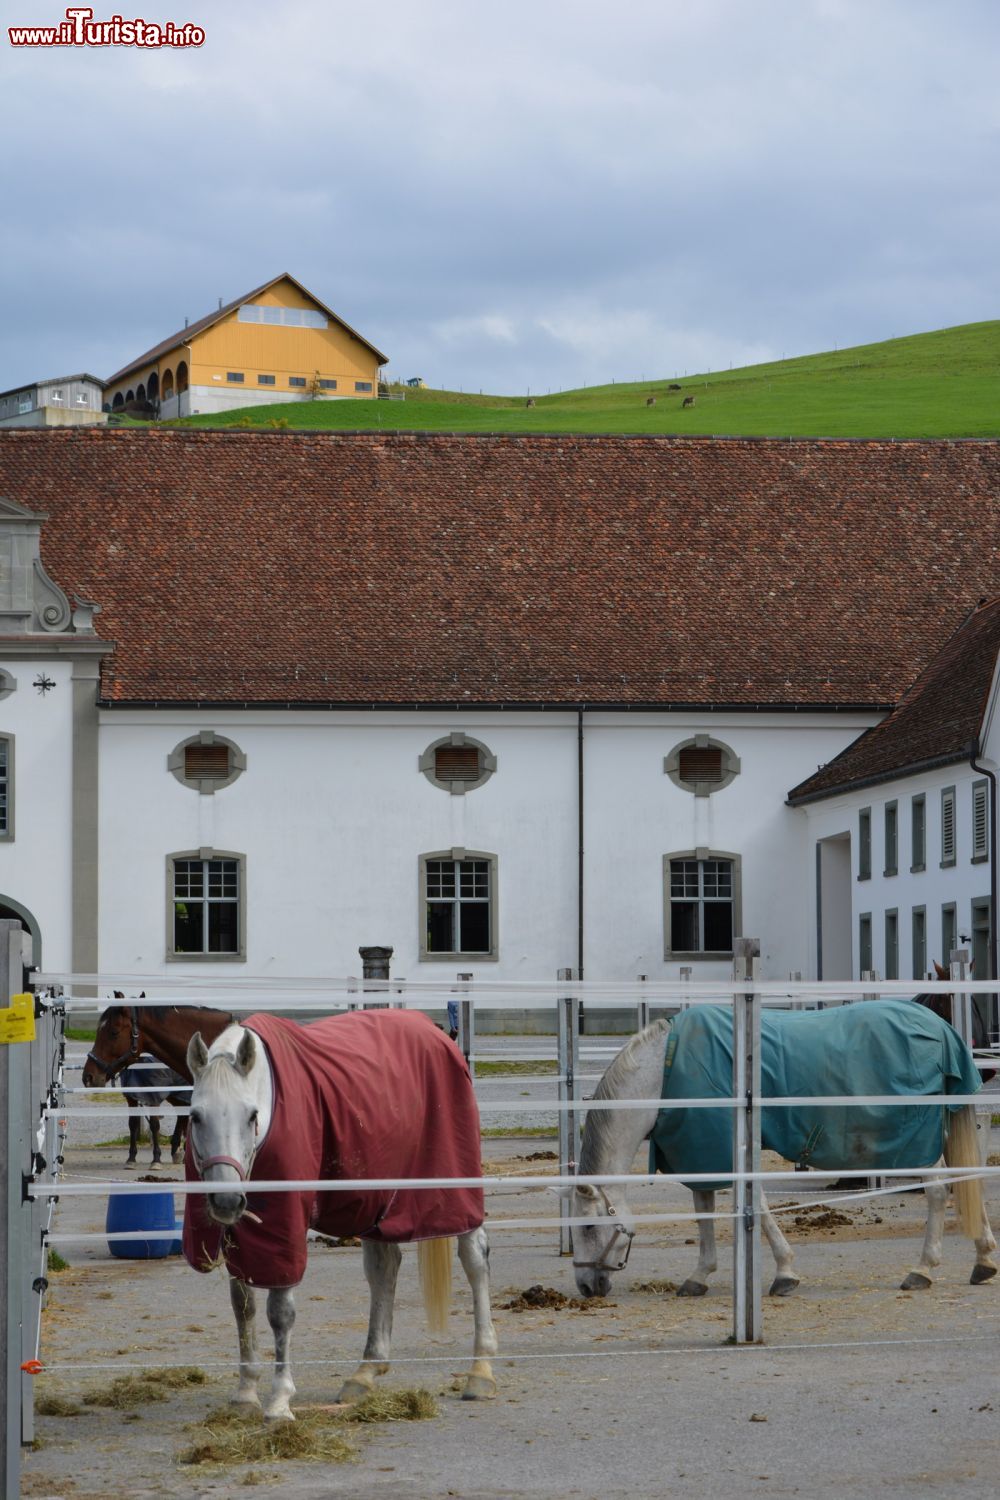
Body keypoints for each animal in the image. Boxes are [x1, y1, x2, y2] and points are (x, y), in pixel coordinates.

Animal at [183, 1008, 497, 1416]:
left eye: (251, 1115)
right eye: (195, 1116)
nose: (226, 1201)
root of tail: (438, 1033)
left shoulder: (286, 1227)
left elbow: (280, 1311)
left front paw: (279, 1401)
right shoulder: (241, 1234)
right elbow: (243, 1305)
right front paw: (245, 1393)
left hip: (453, 1188)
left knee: (474, 1259)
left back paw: (481, 1370)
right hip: (377, 1199)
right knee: (384, 1267)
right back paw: (364, 1373)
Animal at [569, 1002, 995, 1308]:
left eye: (588, 1226)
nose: (586, 1286)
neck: (664, 1074)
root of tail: (939, 1027)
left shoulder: (729, 1151)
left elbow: (755, 1207)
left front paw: (785, 1274)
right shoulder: (701, 1152)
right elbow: (704, 1210)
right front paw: (700, 1275)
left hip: (915, 1142)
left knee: (939, 1192)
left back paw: (922, 1270)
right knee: (966, 1181)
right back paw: (984, 1260)